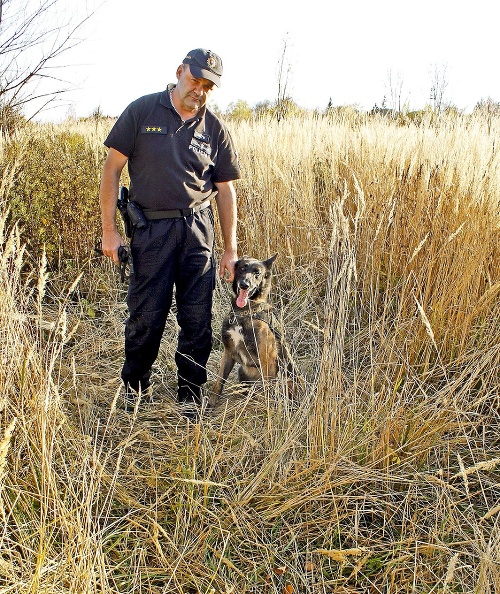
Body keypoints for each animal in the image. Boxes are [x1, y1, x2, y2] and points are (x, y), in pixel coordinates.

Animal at [210, 252, 282, 404]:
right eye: (242, 268)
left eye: (257, 273)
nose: (244, 285)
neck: (243, 313)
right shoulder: (228, 352)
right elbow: (218, 383)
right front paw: (209, 405)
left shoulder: (267, 359)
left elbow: (268, 391)